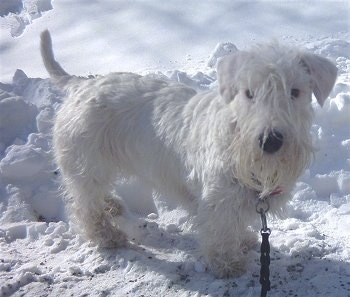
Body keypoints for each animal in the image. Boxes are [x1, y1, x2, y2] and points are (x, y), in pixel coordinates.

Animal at [40, 30, 336, 276]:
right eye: (249, 93)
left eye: (295, 91)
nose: (270, 141)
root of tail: (79, 86)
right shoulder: (218, 202)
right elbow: (220, 233)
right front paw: (228, 264)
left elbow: (236, 225)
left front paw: (244, 241)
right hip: (86, 166)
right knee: (85, 206)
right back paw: (107, 236)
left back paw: (112, 204)